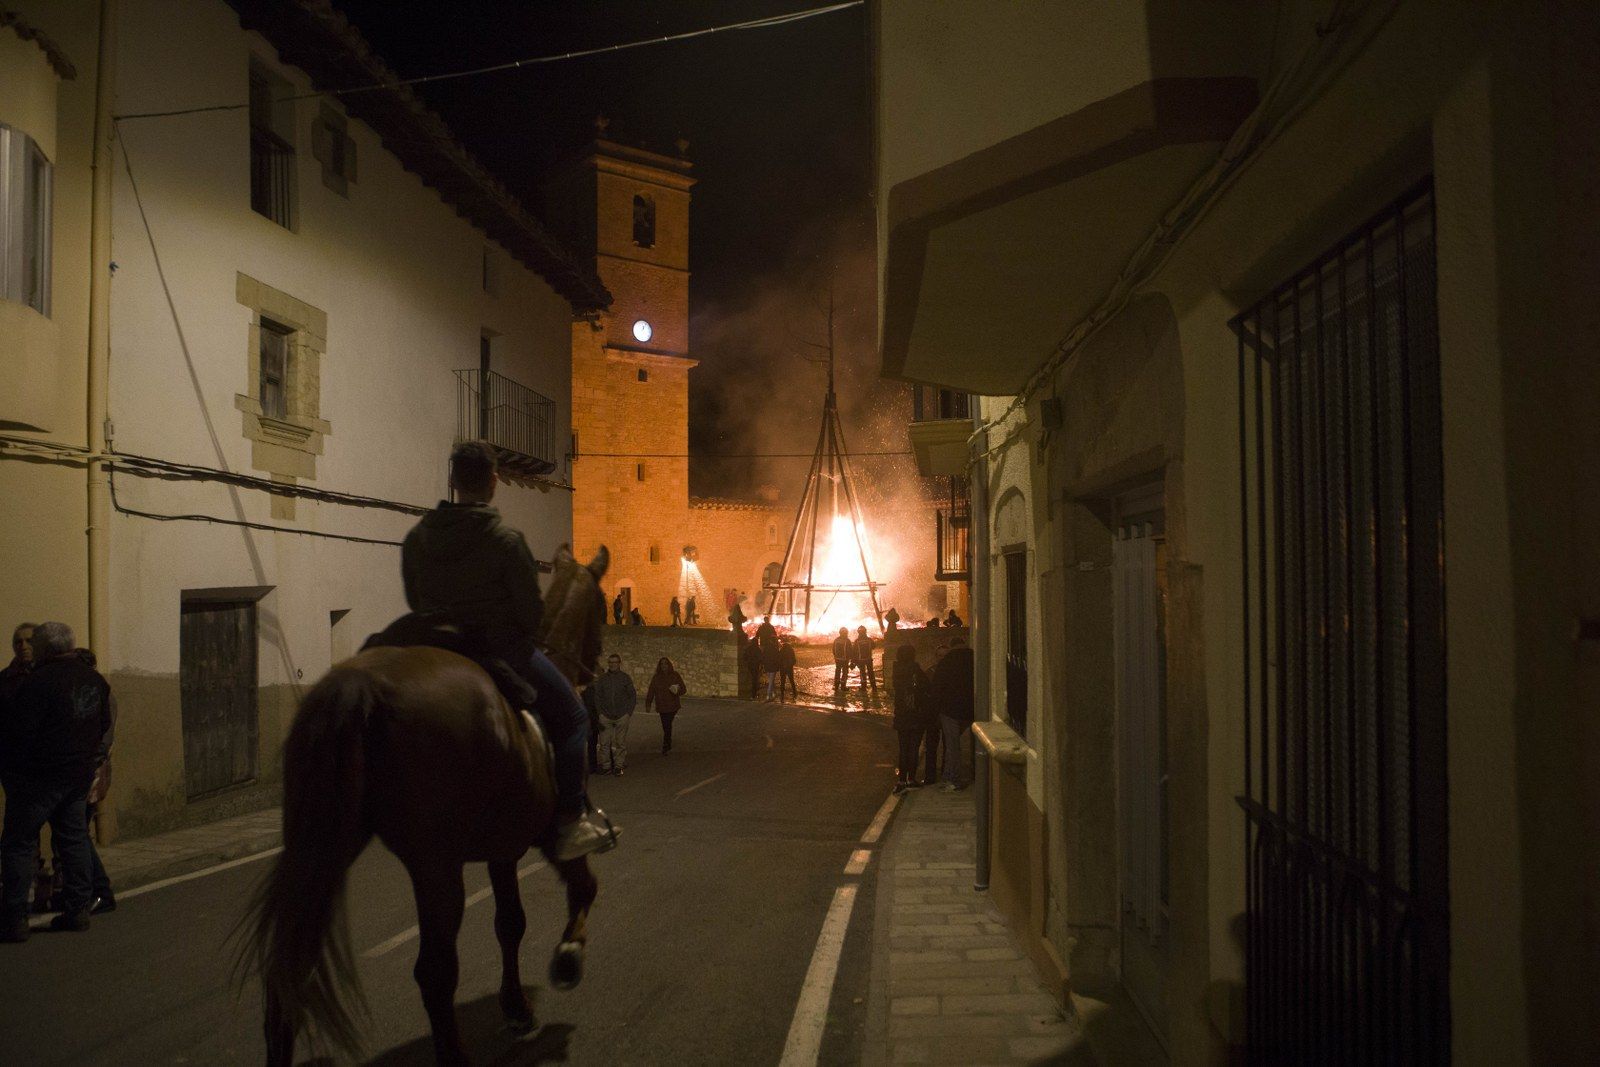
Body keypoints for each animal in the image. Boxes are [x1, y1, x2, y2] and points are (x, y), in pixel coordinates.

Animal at [248, 547, 611, 1062]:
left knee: (290, 964)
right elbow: (583, 888)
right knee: (435, 971)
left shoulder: (503, 849)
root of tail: (362, 685)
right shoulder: (551, 834)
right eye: (603, 606)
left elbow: (510, 922)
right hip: (436, 868)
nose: (595, 665)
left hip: (324, 848)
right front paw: (566, 960)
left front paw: (517, 1007)